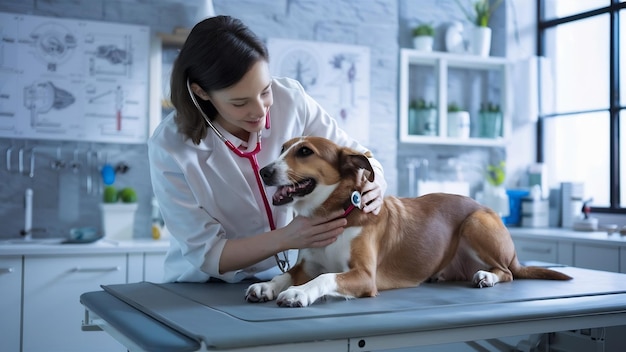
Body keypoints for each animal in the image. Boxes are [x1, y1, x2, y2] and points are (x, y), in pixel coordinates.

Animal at [245, 136, 572, 306]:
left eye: (304, 151)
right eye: (282, 148)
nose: (264, 171)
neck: (336, 212)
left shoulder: (364, 276)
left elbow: (325, 278)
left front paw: (299, 292)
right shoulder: (306, 265)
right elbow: (286, 274)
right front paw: (267, 287)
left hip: (476, 222)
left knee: (508, 272)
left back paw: (487, 276)